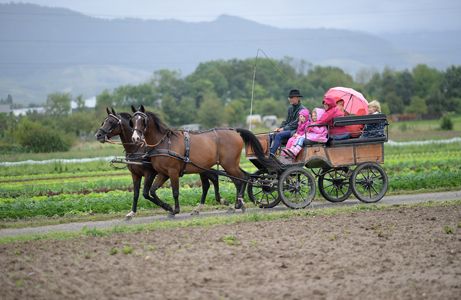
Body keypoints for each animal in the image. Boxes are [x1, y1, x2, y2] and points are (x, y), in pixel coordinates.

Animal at [95, 108, 223, 218]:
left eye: (111, 122)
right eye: (103, 121)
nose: (98, 135)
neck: (137, 148)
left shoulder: (150, 173)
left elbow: (146, 193)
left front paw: (168, 207)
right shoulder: (135, 174)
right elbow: (136, 194)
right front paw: (132, 213)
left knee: (210, 181)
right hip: (201, 168)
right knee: (211, 180)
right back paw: (205, 205)